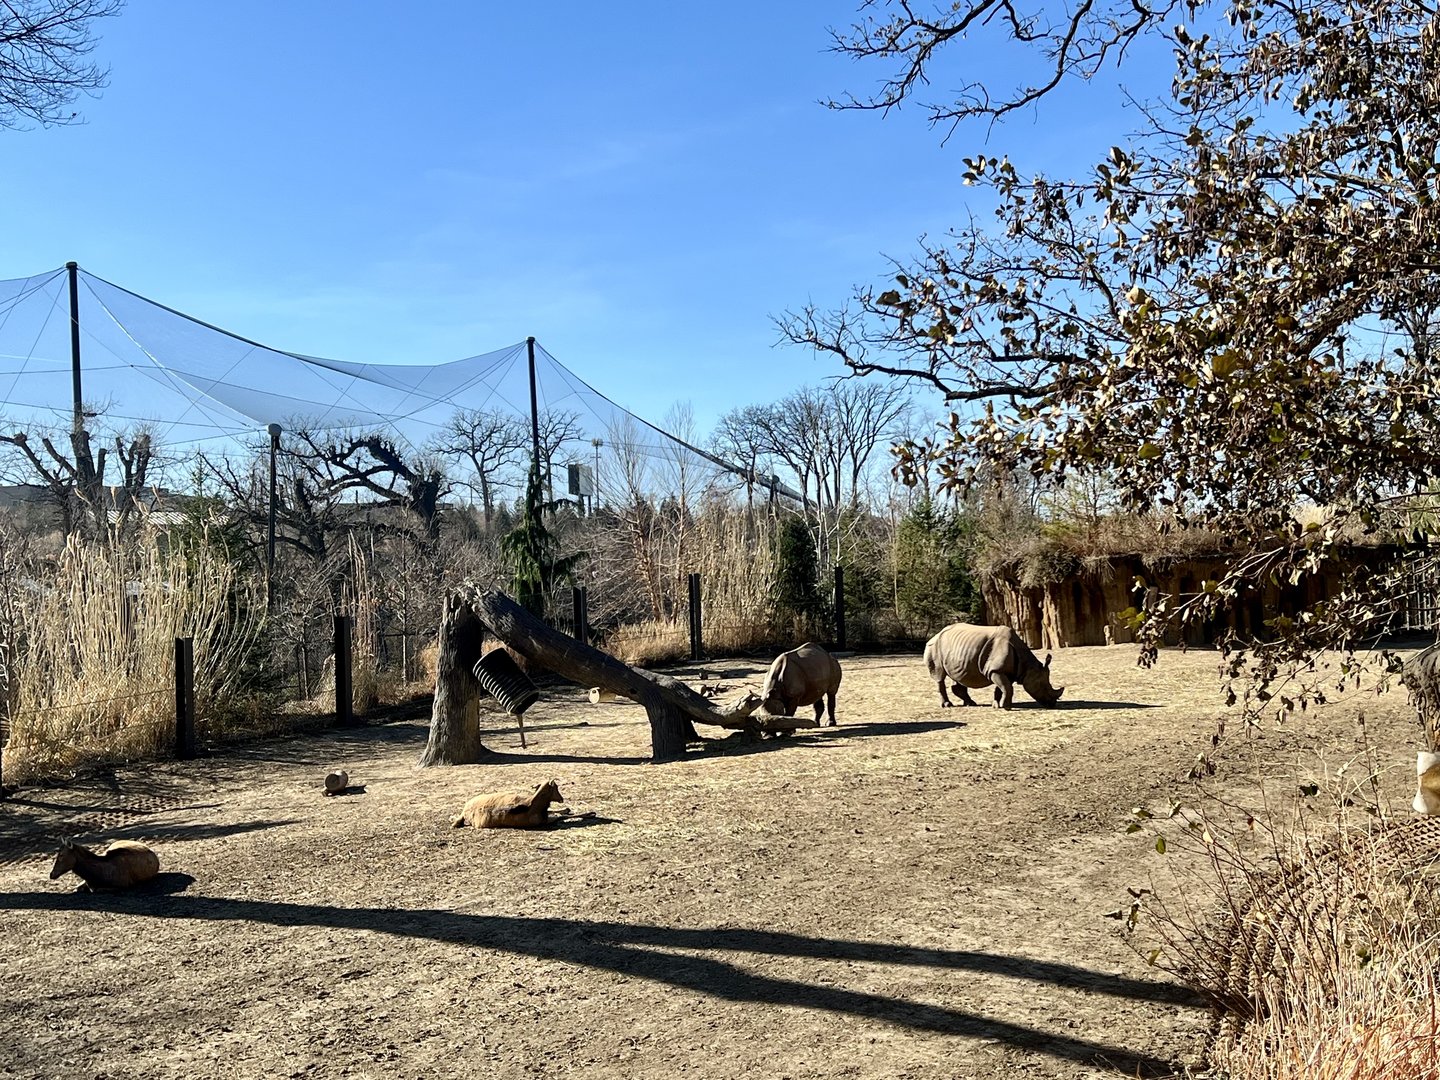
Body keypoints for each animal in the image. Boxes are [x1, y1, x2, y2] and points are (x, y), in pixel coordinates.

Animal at [923, 623, 1063, 710]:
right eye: (1042, 686)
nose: (1052, 704)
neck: (1028, 666)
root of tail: (936, 634)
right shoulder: (996, 670)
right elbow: (1006, 687)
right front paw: (1006, 707)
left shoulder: (1003, 671)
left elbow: (1001, 688)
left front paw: (996, 705)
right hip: (934, 646)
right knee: (939, 676)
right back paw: (947, 705)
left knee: (958, 677)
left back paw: (971, 703)